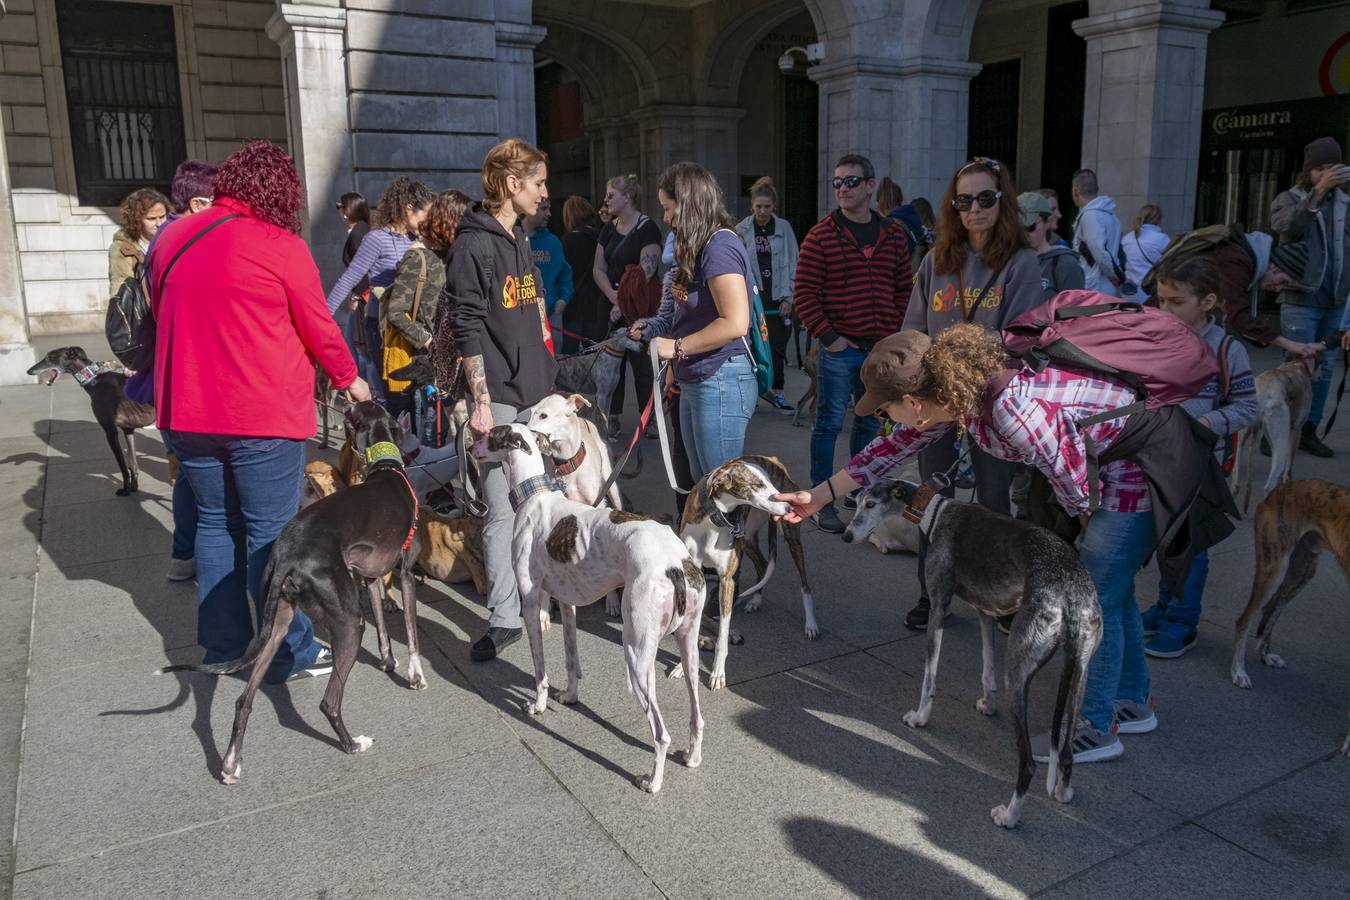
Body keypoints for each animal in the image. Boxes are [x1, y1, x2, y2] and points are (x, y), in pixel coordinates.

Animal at [475, 423, 707, 793]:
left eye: (492, 434)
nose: (470, 440)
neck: (534, 495)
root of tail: (676, 564)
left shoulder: (531, 603)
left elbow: (540, 670)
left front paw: (538, 704)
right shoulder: (568, 603)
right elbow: (572, 659)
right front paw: (570, 696)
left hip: (637, 652)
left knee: (661, 734)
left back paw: (652, 781)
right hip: (688, 647)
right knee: (697, 716)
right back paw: (692, 757)